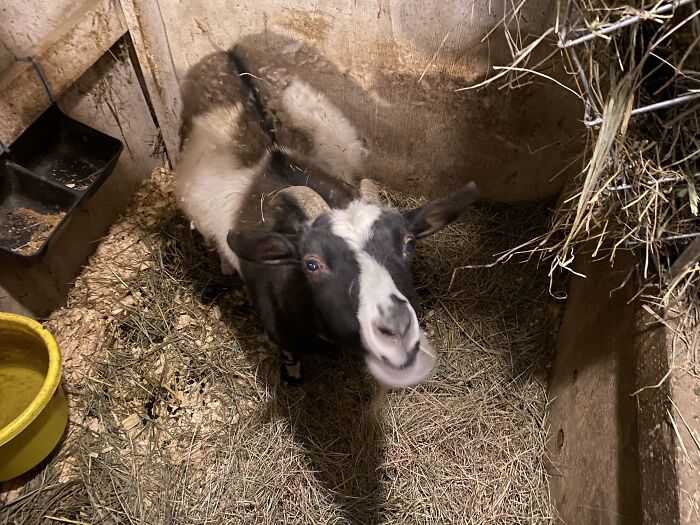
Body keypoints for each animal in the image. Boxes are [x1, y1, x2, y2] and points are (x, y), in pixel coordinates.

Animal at [175, 49, 479, 387]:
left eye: (409, 245)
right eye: (311, 263)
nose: (396, 328)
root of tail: (226, 53)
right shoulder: (281, 333)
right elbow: (291, 356)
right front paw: (293, 378)